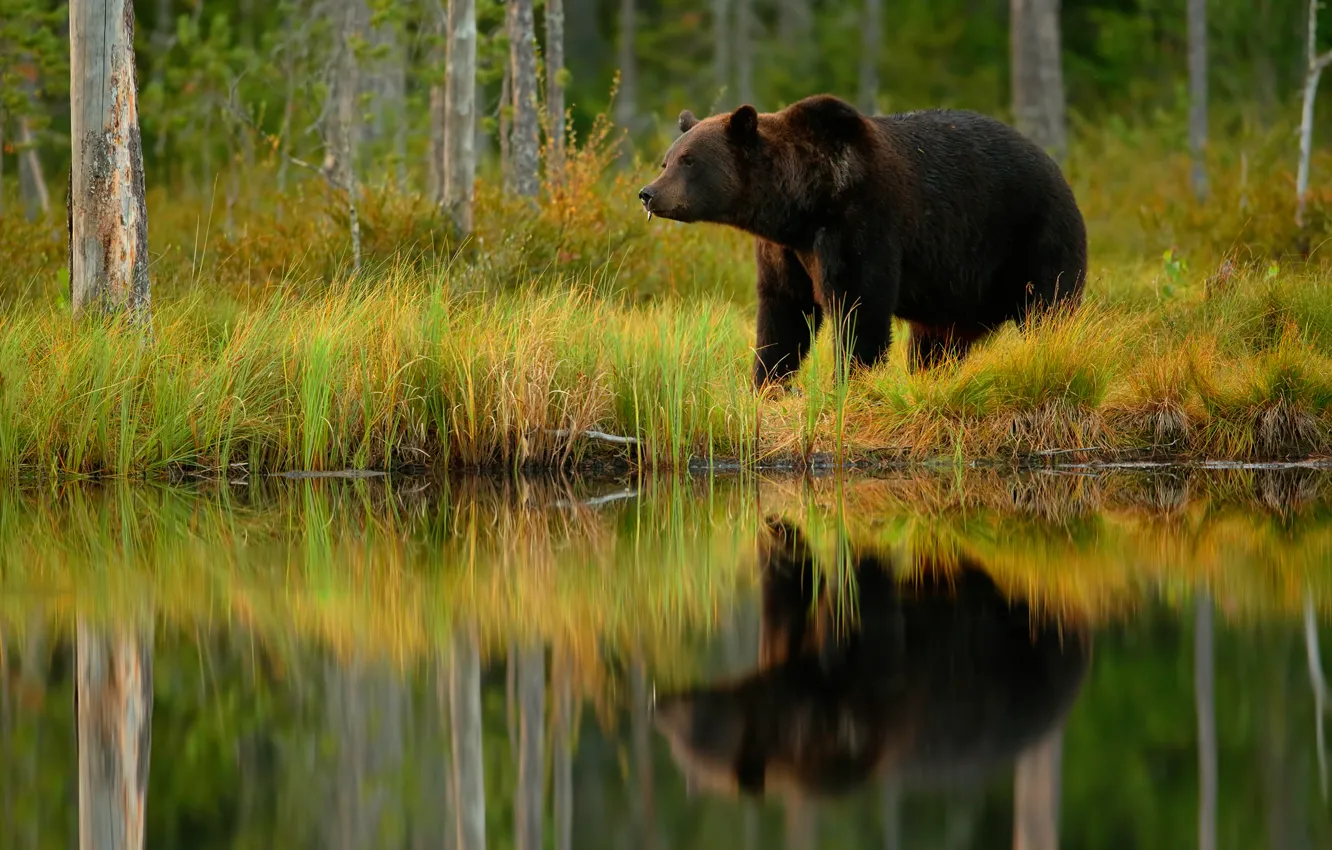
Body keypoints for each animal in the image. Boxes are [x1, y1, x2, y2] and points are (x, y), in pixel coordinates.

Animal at [637, 94, 1088, 387]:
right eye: (666, 160)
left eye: (689, 160)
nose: (648, 193)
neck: (802, 204)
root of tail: (1058, 170)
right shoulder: (786, 251)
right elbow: (783, 315)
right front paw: (767, 383)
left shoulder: (862, 223)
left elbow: (859, 307)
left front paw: (849, 383)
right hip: (955, 294)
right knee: (934, 343)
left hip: (1033, 236)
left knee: (1050, 308)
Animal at [650, 516, 1092, 799]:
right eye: (675, 747)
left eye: (684, 732)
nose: (658, 704)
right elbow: (789, 581)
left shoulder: (861, 708)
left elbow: (867, 611)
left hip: (1028, 635)